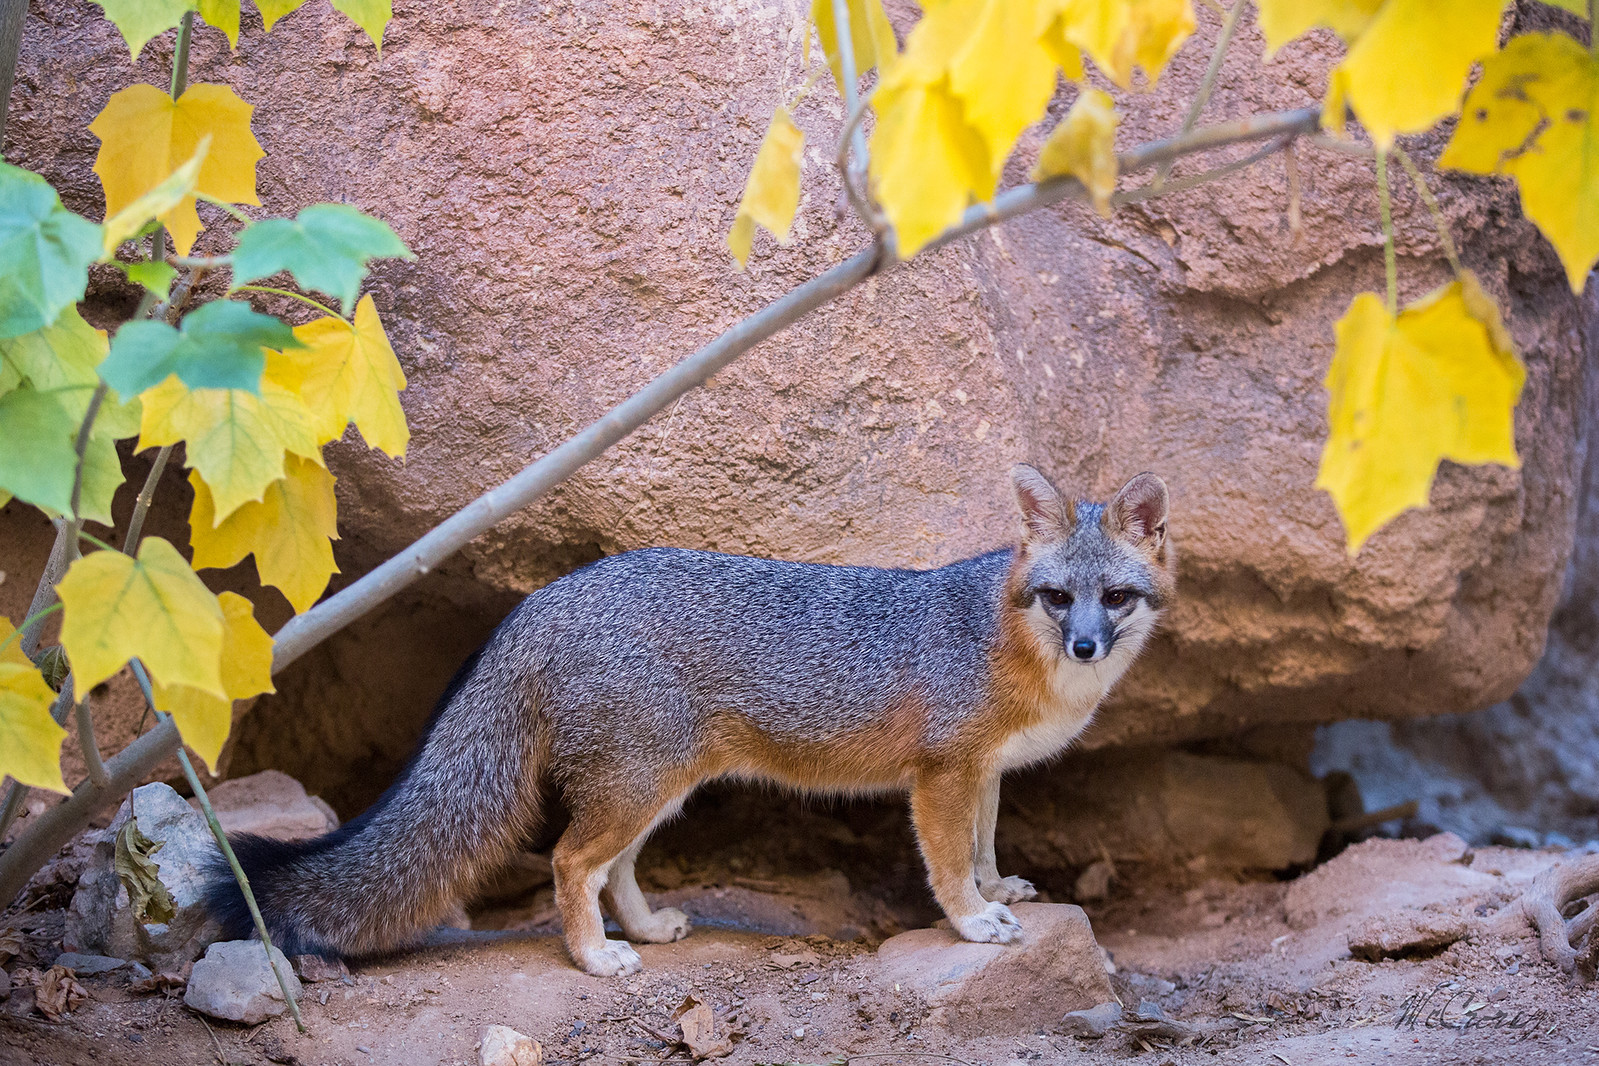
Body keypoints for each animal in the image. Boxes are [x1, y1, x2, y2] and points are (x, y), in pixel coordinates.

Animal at [204, 465, 1174, 977]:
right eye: (1058, 598)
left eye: (1116, 598)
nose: (1086, 644)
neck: (1008, 644)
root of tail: (543, 597)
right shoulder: (941, 775)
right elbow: (945, 865)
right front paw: (972, 922)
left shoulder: (984, 774)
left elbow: (981, 845)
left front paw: (1000, 889)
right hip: (638, 786)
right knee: (568, 862)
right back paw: (595, 959)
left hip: (656, 787)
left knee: (613, 869)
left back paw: (643, 930)